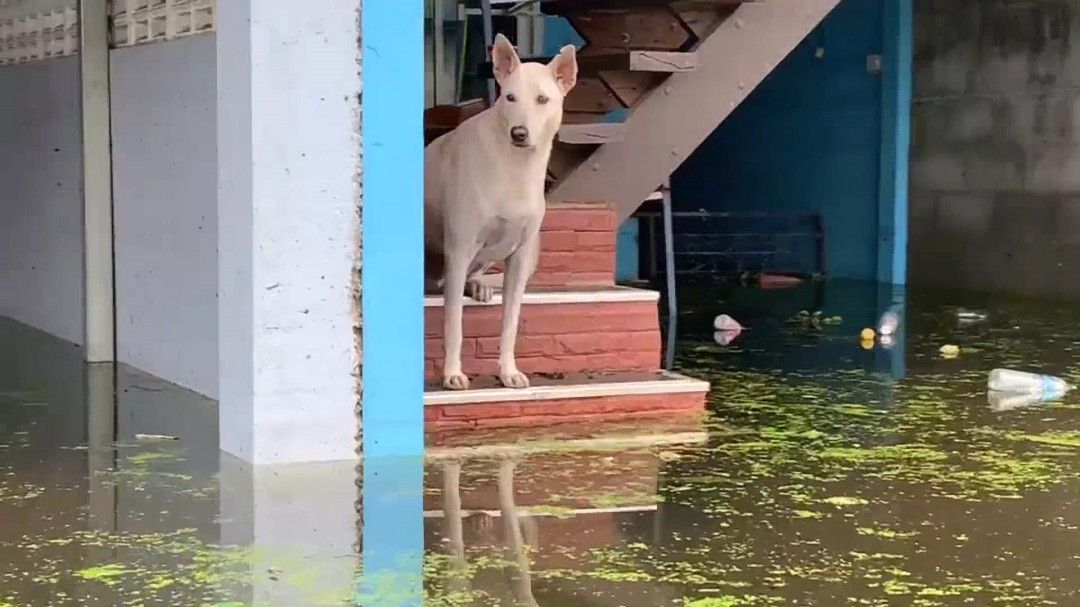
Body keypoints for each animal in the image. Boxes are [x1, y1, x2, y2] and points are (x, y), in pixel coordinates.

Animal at [425, 34, 578, 391]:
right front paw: (452, 373)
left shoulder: (519, 259)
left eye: (542, 99)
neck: (514, 166)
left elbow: (510, 323)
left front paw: (508, 371)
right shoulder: (459, 249)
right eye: (510, 97)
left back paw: (478, 285)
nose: (519, 133)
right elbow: (454, 322)